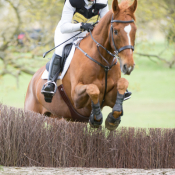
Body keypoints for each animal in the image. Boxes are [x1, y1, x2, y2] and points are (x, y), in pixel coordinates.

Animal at [24, 0, 137, 130]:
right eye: (116, 31)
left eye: (135, 30)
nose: (128, 66)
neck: (103, 63)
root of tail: (33, 79)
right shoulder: (76, 97)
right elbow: (93, 89)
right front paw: (96, 117)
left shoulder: (111, 97)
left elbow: (123, 83)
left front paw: (112, 119)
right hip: (32, 112)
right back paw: (49, 87)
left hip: (58, 117)